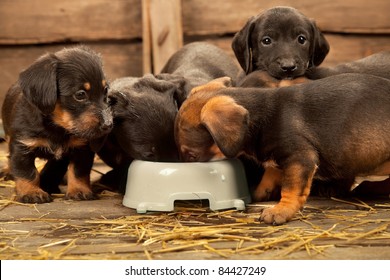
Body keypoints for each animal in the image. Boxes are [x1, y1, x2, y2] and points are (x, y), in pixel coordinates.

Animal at [2, 46, 112, 203]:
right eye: (80, 94)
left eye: (105, 91)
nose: (108, 125)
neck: (57, 128)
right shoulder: (22, 146)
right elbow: (27, 172)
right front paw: (32, 192)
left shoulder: (81, 148)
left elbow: (78, 171)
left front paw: (79, 190)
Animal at [175, 74, 390, 223]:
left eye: (192, 156)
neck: (258, 116)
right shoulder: (277, 160)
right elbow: (269, 178)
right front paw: (258, 193)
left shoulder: (300, 158)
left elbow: (291, 188)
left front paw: (280, 211)